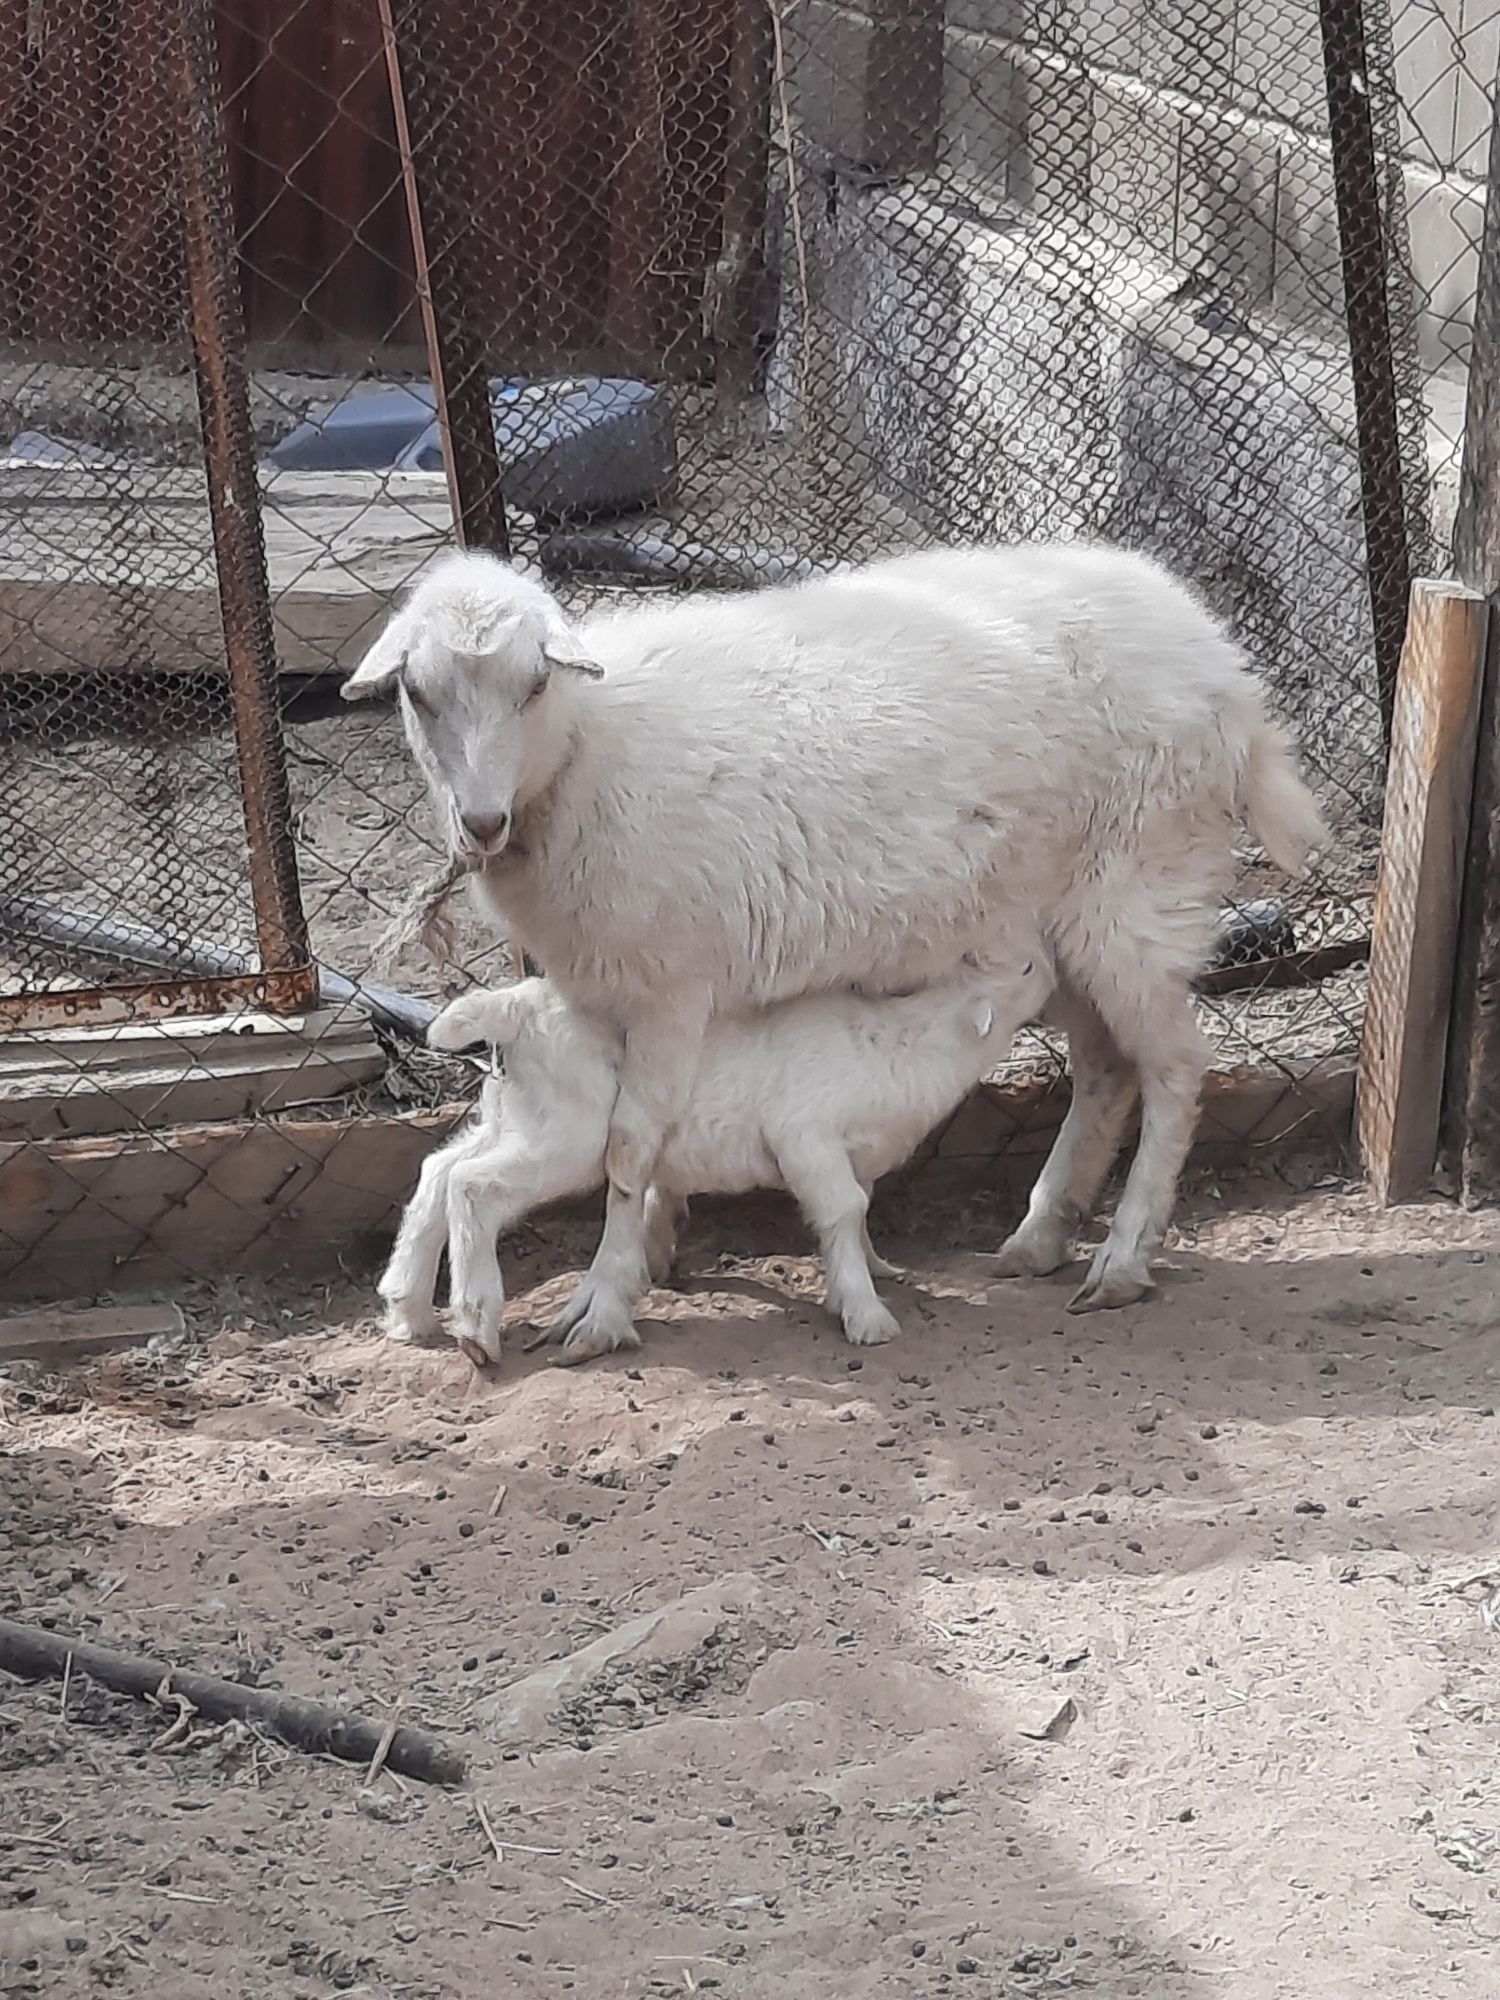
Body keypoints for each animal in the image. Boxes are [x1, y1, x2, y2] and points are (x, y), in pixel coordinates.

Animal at [350, 544, 1328, 1360]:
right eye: (418, 694)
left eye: (533, 686)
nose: (479, 824)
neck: (592, 744)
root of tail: (1223, 664)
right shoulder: (611, 990)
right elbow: (647, 1137)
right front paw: (653, 1251)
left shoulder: (672, 984)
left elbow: (630, 1149)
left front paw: (603, 1303)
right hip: (1062, 925)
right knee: (1105, 1066)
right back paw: (1040, 1236)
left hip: (1136, 889)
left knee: (1174, 1065)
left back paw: (1122, 1259)